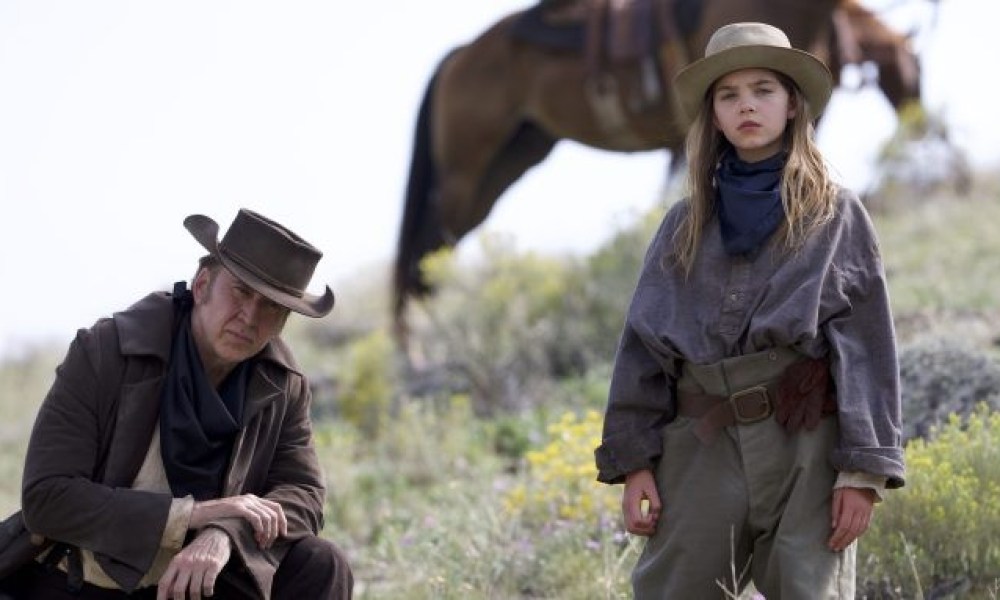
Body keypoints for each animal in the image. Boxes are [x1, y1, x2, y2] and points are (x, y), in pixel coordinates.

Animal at [394, 0, 924, 338]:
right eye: (913, 69)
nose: (919, 121)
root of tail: (460, 55)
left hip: (511, 160)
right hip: (466, 171)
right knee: (423, 251)